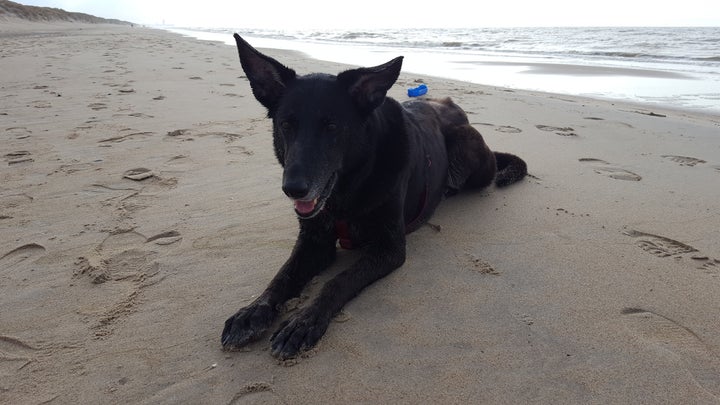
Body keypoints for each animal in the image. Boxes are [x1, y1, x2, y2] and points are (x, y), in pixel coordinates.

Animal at [222, 34, 524, 356]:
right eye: (286, 124)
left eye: (332, 126)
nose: (293, 188)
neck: (348, 191)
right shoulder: (314, 242)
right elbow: (282, 276)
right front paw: (253, 311)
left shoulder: (389, 247)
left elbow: (338, 281)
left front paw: (304, 321)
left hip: (466, 144)